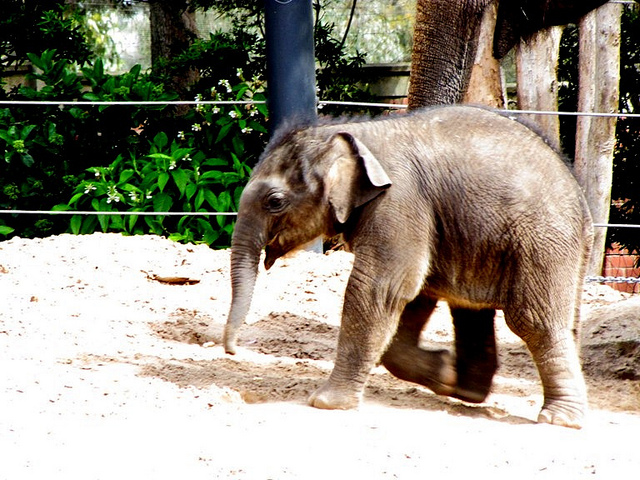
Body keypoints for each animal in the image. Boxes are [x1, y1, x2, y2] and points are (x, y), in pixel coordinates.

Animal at [223, 104, 594, 429]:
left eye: (275, 202)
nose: (233, 350)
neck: (355, 134)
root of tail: (581, 198)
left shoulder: (400, 201)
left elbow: (379, 287)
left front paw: (325, 404)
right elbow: (412, 293)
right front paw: (444, 371)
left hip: (541, 242)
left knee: (534, 319)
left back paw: (559, 420)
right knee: (472, 311)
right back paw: (466, 390)